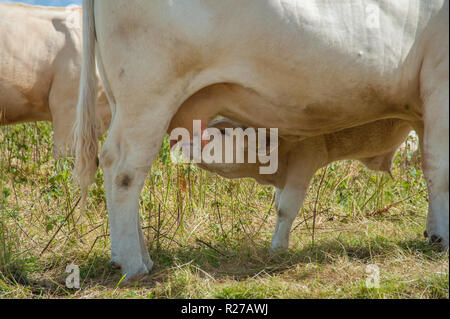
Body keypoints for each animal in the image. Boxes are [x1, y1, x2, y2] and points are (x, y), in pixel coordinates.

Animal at [73, 0, 446, 282]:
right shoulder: (438, 79)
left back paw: (137, 257)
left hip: (127, 101)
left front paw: (432, 232)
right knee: (124, 170)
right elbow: (439, 169)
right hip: (148, 95)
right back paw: (133, 264)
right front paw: (442, 237)